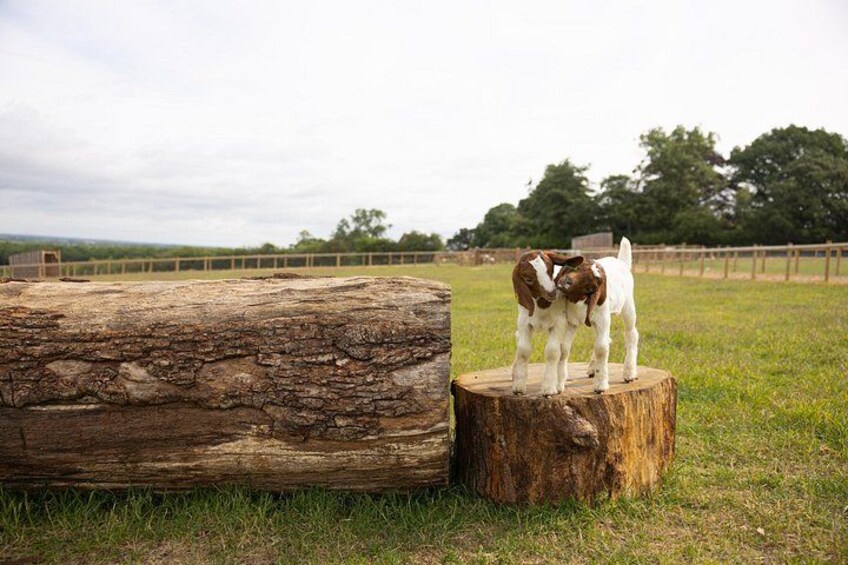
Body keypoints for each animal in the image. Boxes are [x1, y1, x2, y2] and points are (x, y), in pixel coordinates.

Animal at [510, 250, 572, 396]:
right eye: (528, 279)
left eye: (550, 269)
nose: (552, 293)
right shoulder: (523, 321)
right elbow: (523, 350)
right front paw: (519, 386)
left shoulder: (560, 322)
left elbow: (553, 351)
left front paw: (549, 388)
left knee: (564, 350)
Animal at [554, 237, 638, 393]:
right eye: (578, 268)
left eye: (589, 286)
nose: (566, 282)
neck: (578, 300)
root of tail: (621, 262)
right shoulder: (571, 322)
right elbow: (564, 349)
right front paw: (557, 384)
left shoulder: (602, 318)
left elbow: (601, 348)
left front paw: (600, 385)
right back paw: (593, 368)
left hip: (628, 305)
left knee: (631, 334)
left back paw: (629, 373)